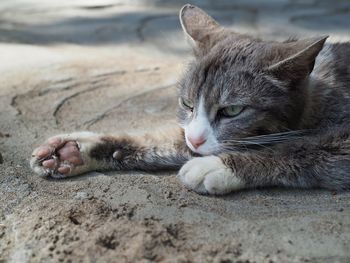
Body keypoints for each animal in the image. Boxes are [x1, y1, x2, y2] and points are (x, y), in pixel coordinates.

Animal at [30, 3, 350, 194]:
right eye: (187, 104)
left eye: (232, 110)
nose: (196, 140)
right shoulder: (190, 133)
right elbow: (165, 138)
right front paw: (75, 149)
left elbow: (301, 147)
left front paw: (219, 165)